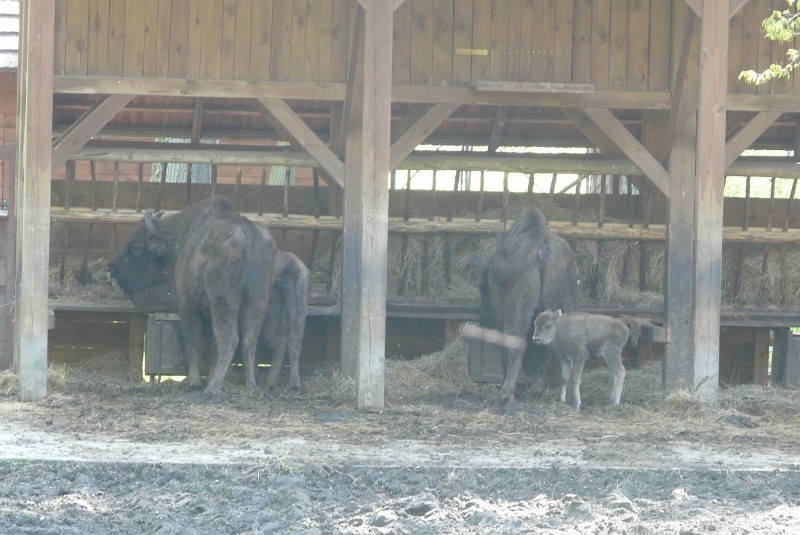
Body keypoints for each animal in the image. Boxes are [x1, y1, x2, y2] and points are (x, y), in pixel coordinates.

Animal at [108, 195, 278, 400]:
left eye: (137, 247)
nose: (111, 268)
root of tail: (247, 236)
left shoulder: (188, 306)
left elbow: (194, 341)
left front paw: (194, 381)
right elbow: (212, 346)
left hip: (224, 301)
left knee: (230, 339)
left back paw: (213, 387)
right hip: (258, 301)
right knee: (249, 340)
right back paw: (251, 385)